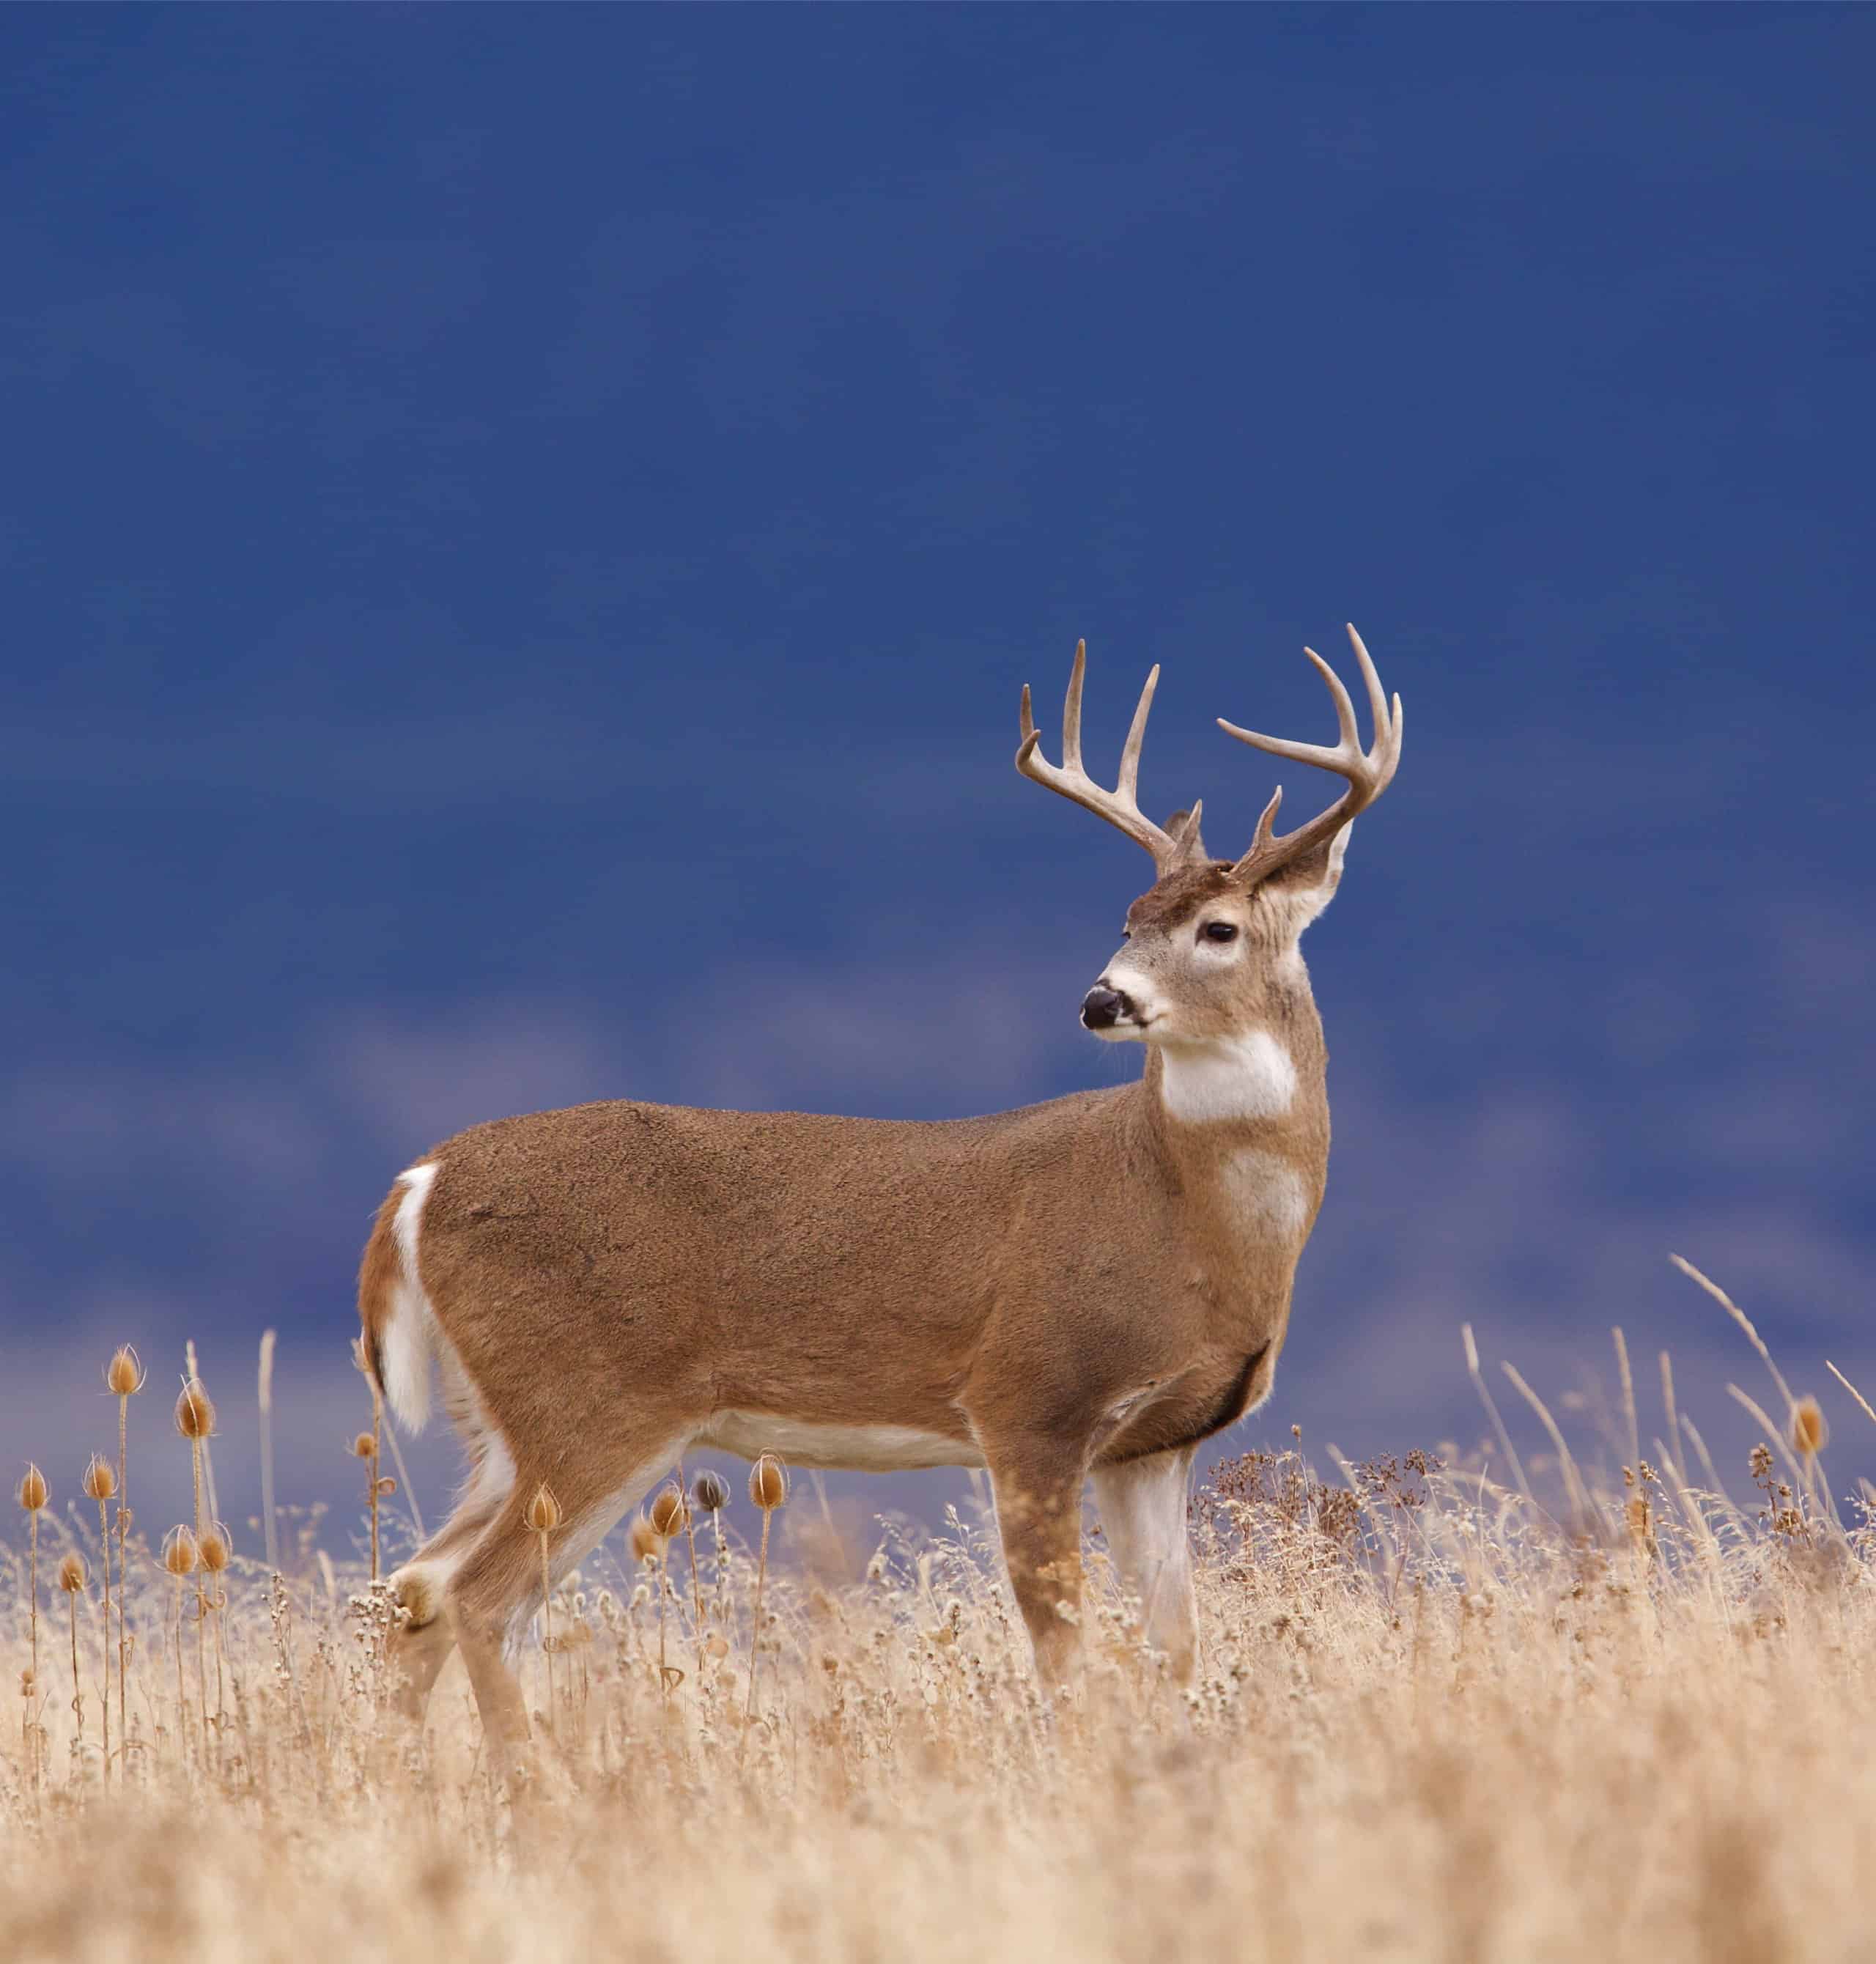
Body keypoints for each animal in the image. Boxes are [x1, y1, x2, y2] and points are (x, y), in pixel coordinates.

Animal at [358, 624, 1402, 1741]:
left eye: (1217, 928)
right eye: (1127, 917)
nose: (1101, 999)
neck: (1190, 1221)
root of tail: (419, 1181)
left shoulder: (1154, 1444)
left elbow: (1173, 1647)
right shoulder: (1028, 1396)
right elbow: (1062, 1639)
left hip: (504, 1427)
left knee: (418, 1589)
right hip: (589, 1402)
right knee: (478, 1596)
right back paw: (532, 1773)